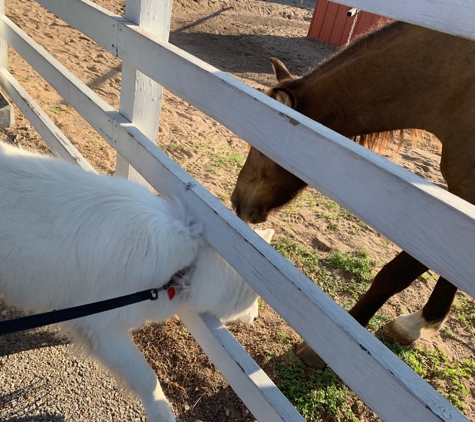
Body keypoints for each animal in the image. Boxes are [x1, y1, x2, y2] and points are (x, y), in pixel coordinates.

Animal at [0, 143, 276, 422]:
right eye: (254, 299)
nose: (256, 318)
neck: (188, 264)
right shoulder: (104, 327)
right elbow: (149, 380)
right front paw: (162, 414)